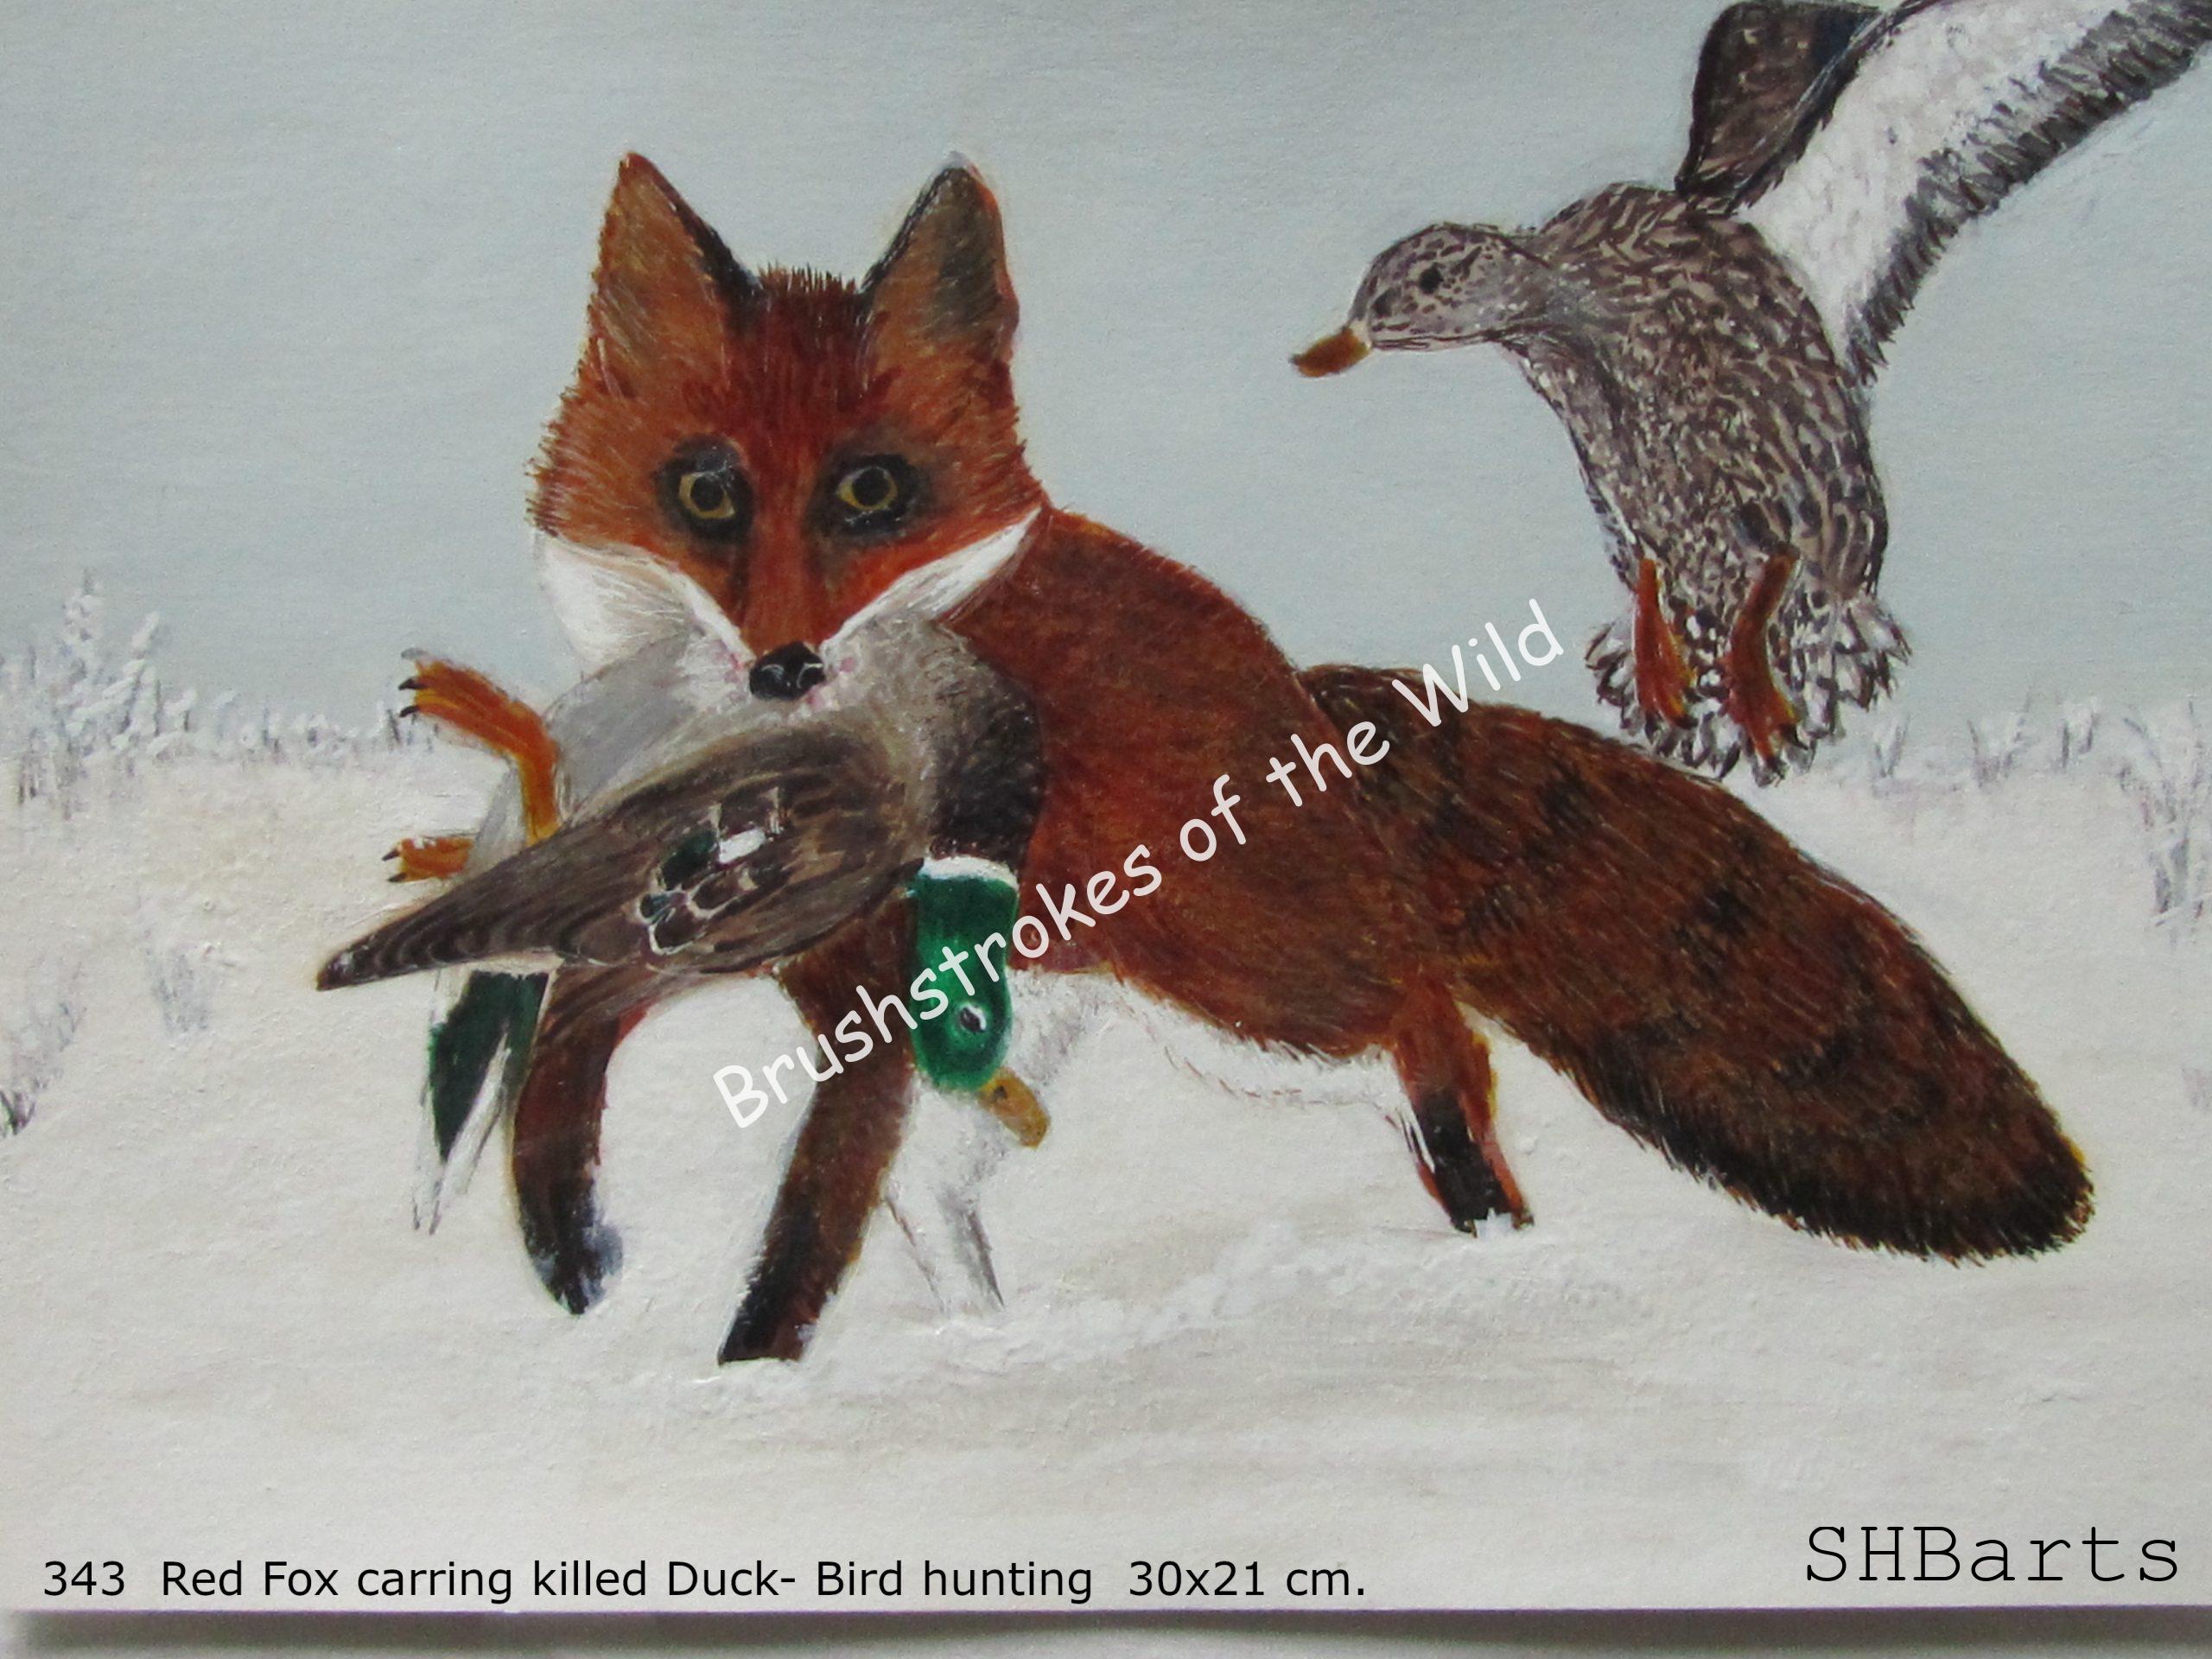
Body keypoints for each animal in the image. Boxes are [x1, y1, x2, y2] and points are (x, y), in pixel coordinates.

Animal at [406, 154, 2091, 1363]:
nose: (784, 665)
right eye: (706, 493)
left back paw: (1501, 1253)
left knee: (1435, 1035)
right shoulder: (744, 944)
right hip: (1073, 1017)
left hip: (1263, 1003)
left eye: (873, 493)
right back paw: (991, 1339)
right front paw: (557, 1231)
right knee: (951, 1192)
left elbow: (799, 1226)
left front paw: (744, 1378)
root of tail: (1312, 697)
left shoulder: (856, 997)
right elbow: (579, 1023)